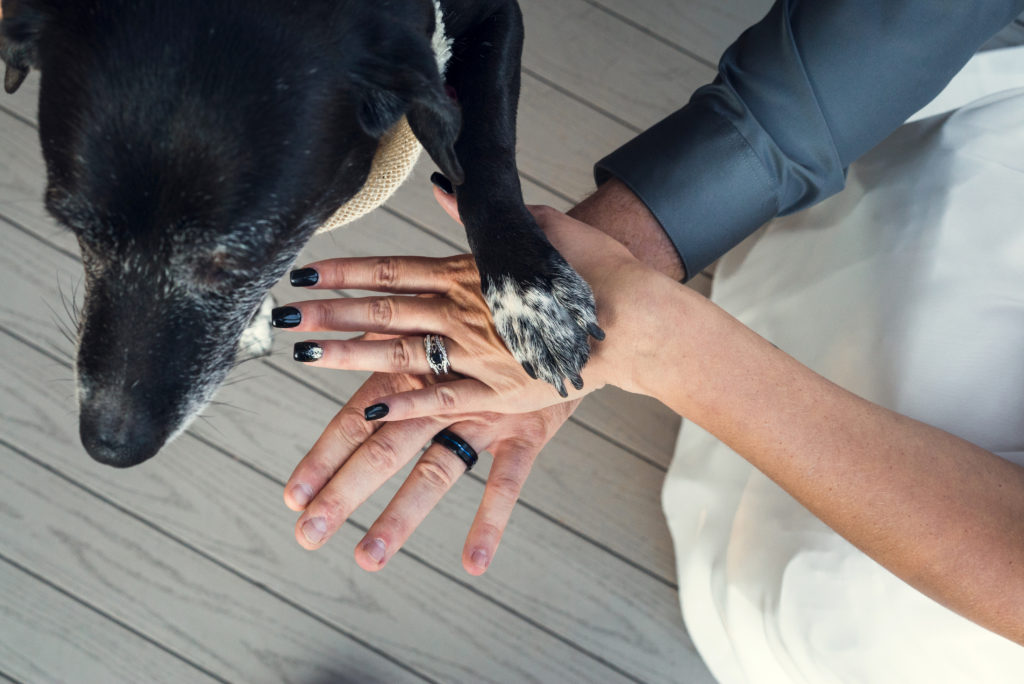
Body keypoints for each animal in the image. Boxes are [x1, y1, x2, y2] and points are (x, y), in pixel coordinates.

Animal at [0, 0, 598, 464]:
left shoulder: (498, 17)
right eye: (73, 226)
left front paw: (531, 293)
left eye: (241, 257)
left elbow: (484, 152)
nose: (110, 447)